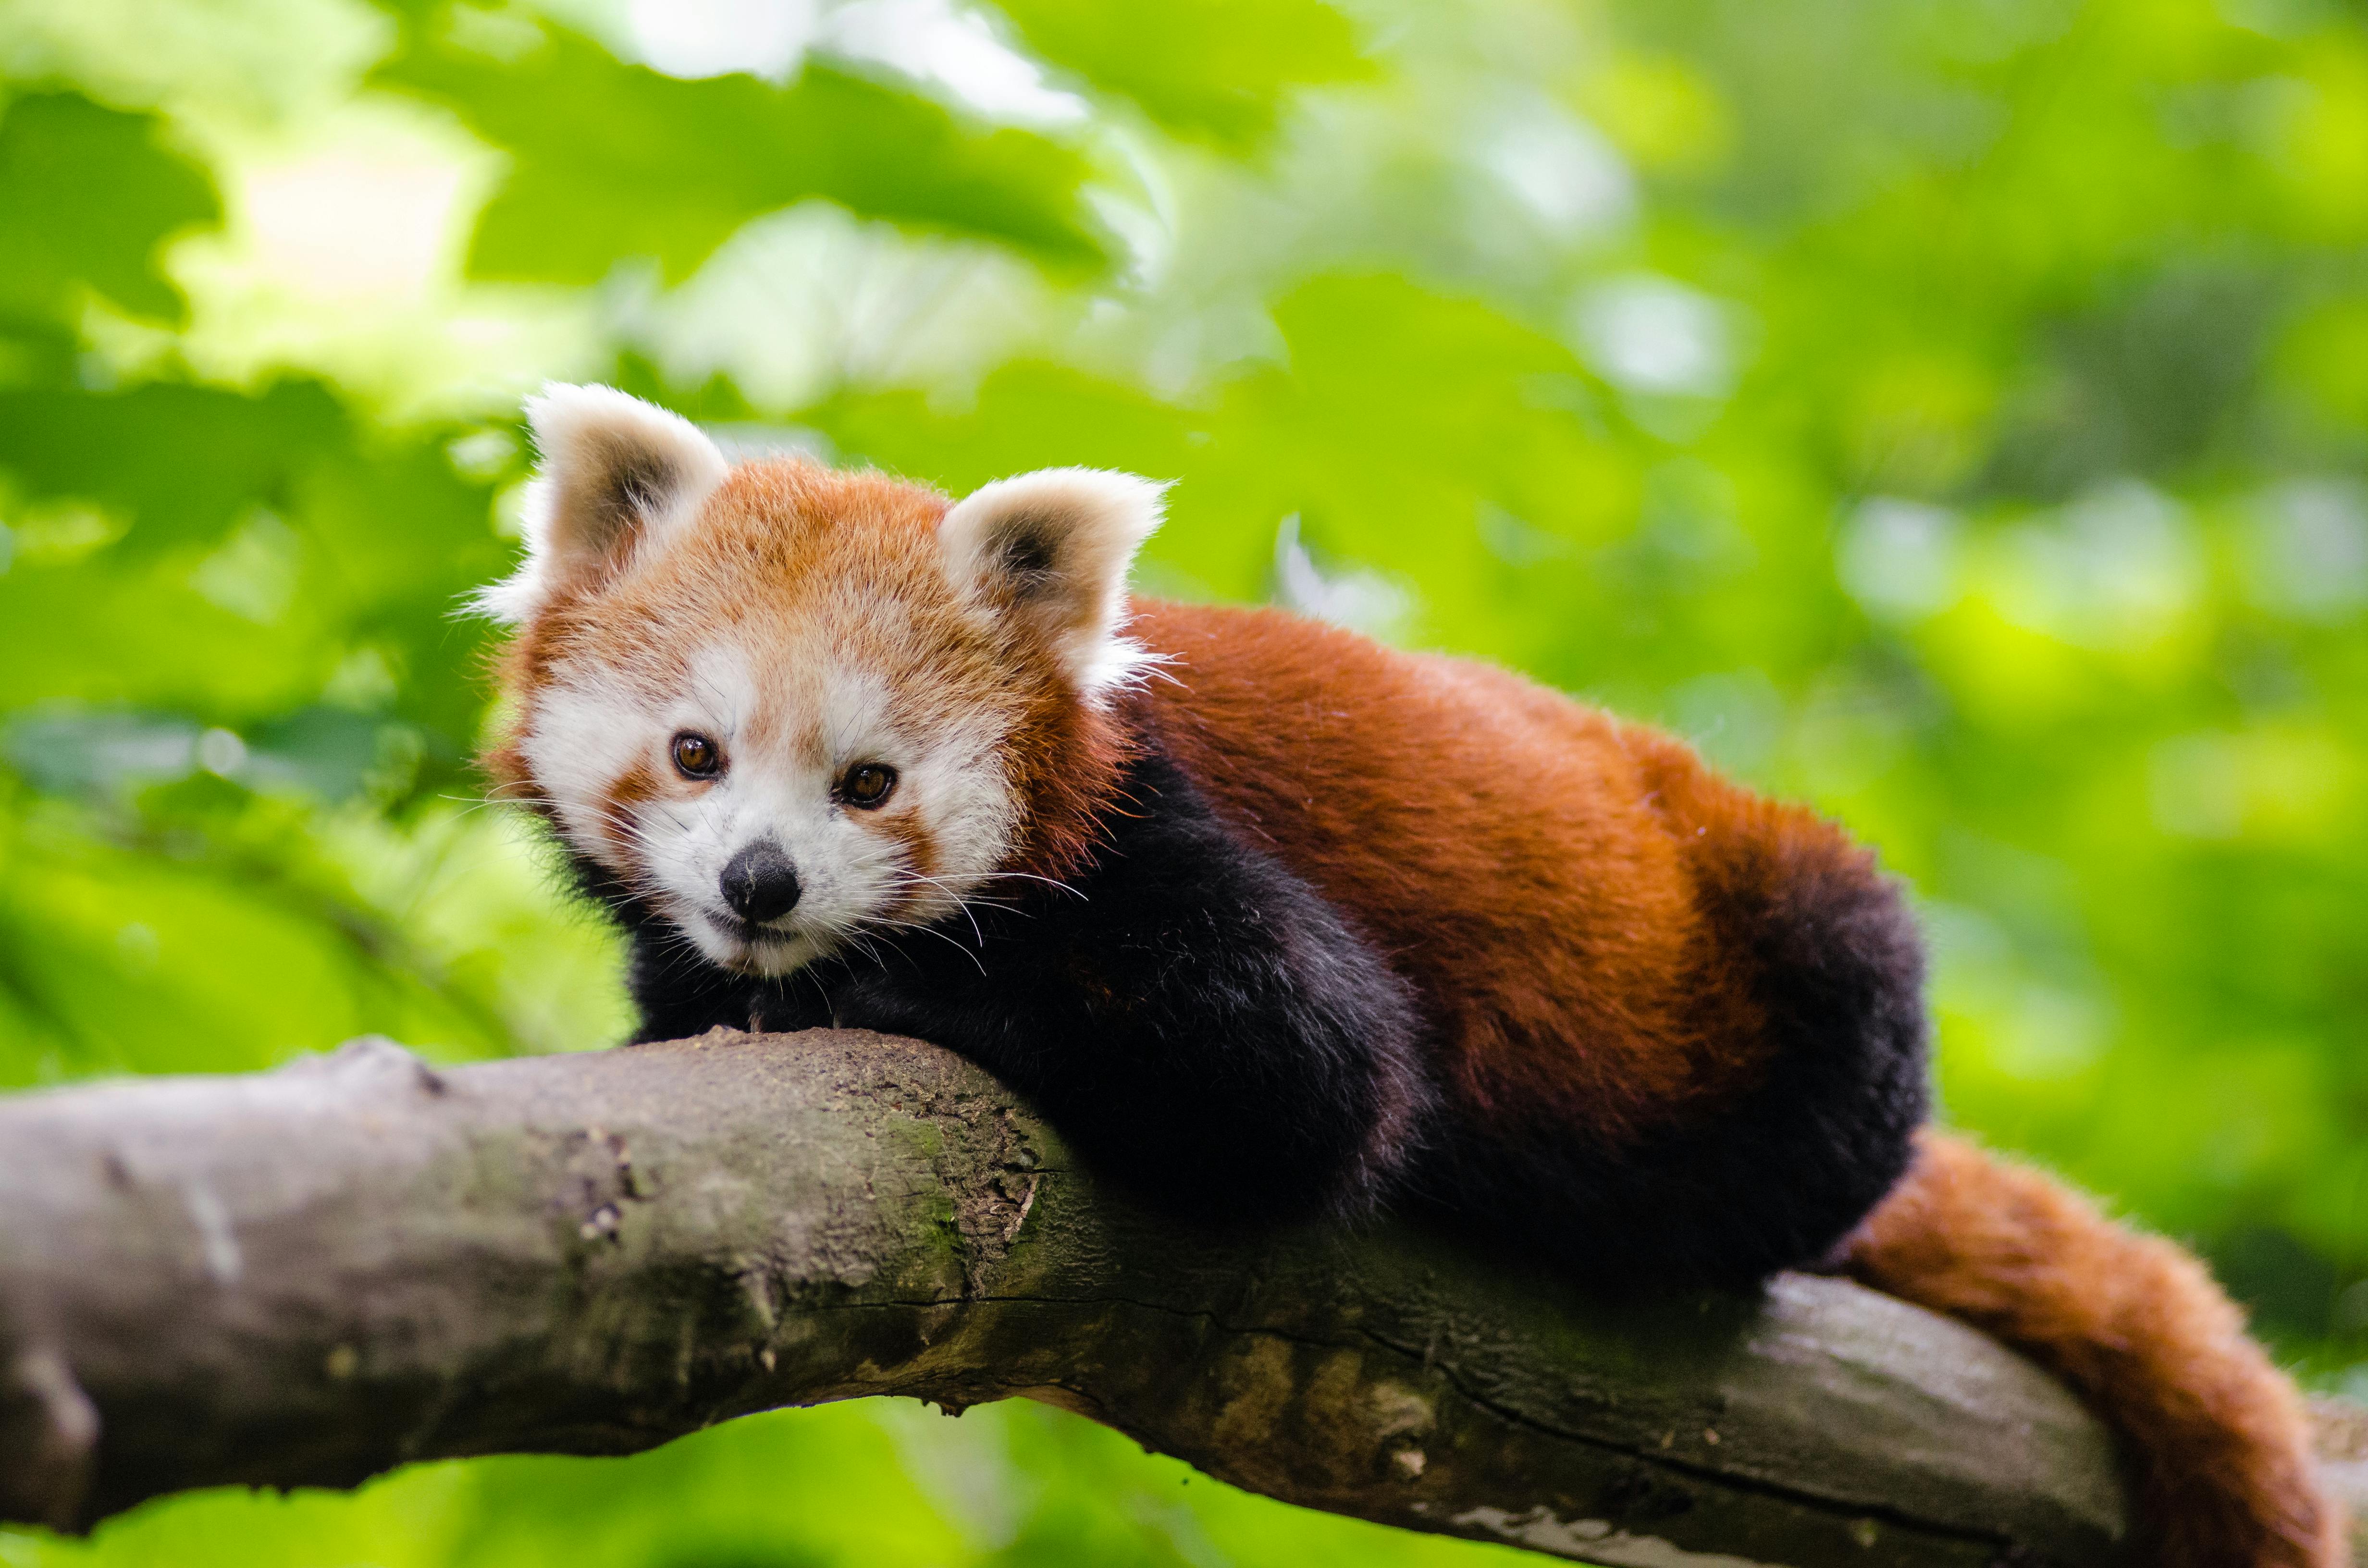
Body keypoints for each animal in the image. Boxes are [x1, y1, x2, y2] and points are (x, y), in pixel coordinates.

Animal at [485, 383, 2349, 1568]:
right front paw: (697, 991)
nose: (760, 885)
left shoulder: (1172, 845)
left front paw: (867, 990)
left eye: (869, 781)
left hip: (1803, 951)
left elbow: (1308, 1083)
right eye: (696, 752)